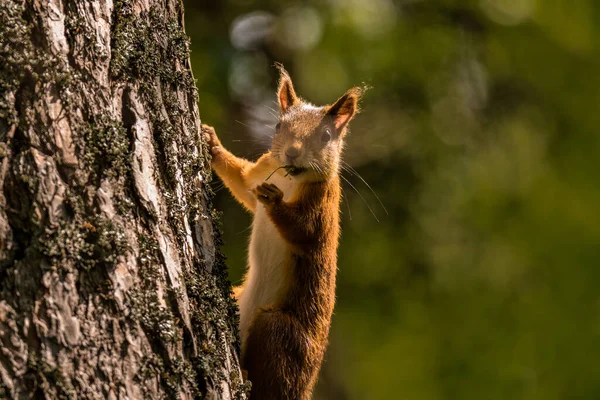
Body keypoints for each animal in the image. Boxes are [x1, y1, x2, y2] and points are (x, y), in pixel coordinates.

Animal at [202, 64, 364, 398]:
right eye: (278, 126)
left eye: (325, 136)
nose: (292, 153)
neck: (290, 178)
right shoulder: (261, 172)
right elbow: (244, 184)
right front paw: (213, 145)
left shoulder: (321, 207)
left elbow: (301, 230)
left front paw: (274, 200)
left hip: (281, 334)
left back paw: (248, 376)